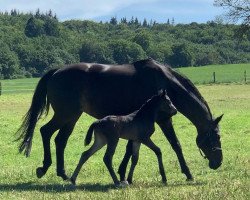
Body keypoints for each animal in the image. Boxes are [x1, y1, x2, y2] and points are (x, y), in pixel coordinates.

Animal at [15, 58, 223, 181]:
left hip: (72, 117)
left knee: (60, 140)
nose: (218, 162)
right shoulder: (164, 120)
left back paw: (63, 173)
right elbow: (176, 145)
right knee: (45, 132)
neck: (164, 82)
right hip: (65, 114)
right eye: (215, 138)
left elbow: (130, 148)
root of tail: (56, 71)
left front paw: (122, 173)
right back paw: (44, 168)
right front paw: (188, 173)